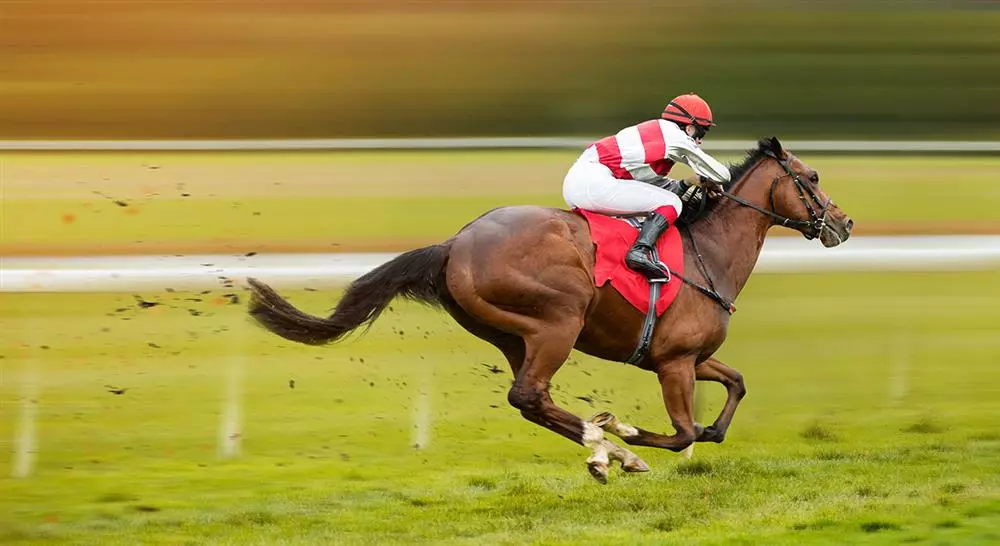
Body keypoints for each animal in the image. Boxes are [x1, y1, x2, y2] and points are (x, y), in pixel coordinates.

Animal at [248, 136, 852, 480]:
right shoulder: (675, 362)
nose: (844, 224)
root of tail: (455, 243)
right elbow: (683, 432)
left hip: (513, 336)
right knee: (529, 395)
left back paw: (603, 449)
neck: (710, 252)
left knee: (531, 400)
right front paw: (631, 435)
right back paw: (609, 447)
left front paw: (639, 439)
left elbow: (733, 392)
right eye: (813, 178)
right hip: (558, 321)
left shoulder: (689, 356)